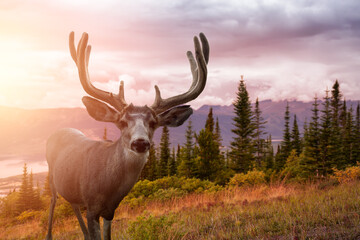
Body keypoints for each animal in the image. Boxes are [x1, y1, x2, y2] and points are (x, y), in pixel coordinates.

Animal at [45, 32, 210, 240]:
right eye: (122, 122)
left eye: (153, 123)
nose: (140, 143)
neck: (107, 186)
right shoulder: (92, 207)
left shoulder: (110, 211)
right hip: (51, 176)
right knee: (53, 200)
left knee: (72, 203)